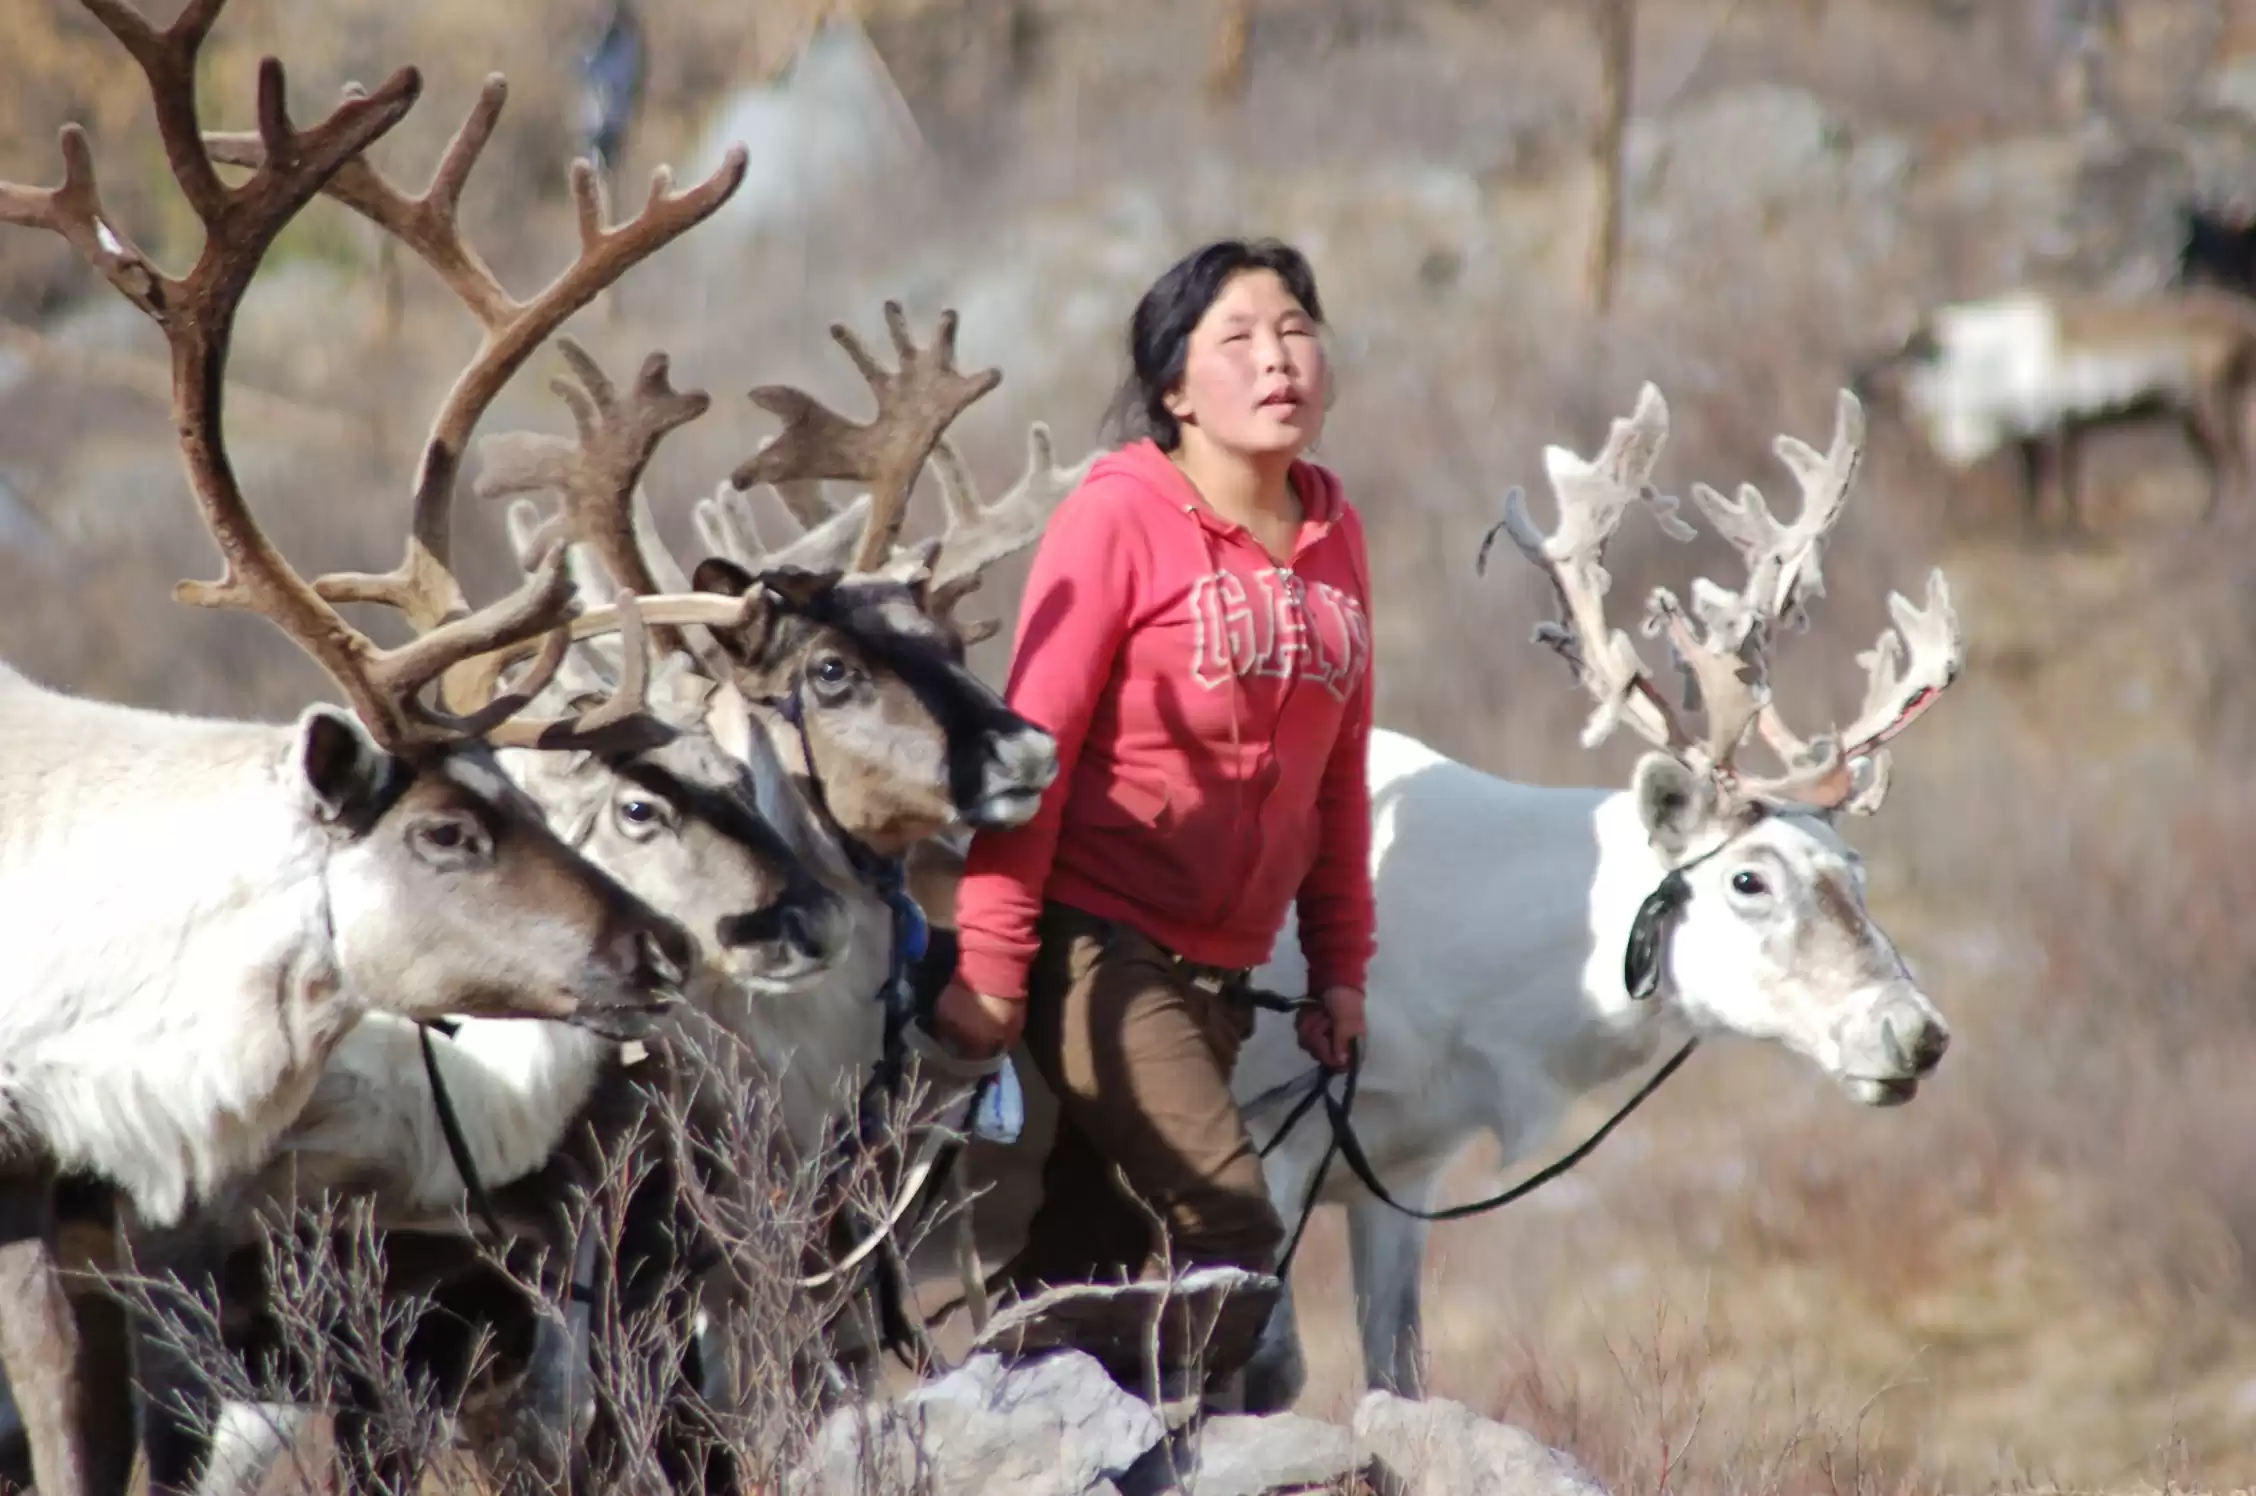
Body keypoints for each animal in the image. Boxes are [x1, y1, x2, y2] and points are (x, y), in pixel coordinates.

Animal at [900, 382, 1964, 1416]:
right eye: (1750, 878)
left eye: (1856, 867)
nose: (1917, 1032)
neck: (1481, 987)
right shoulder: (1263, 1148)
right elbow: (1259, 1373)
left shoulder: (1400, 1172)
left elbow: (1397, 1374)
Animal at [1849, 281, 2256, 535]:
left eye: (1908, 353)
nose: (1860, 379)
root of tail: (2242, 325)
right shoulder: (2047, 431)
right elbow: (2055, 486)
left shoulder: (2045, 426)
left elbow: (2048, 486)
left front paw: (2049, 527)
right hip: (2228, 404)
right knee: (2236, 457)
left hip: (2199, 404)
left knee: (2229, 461)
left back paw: (2218, 518)